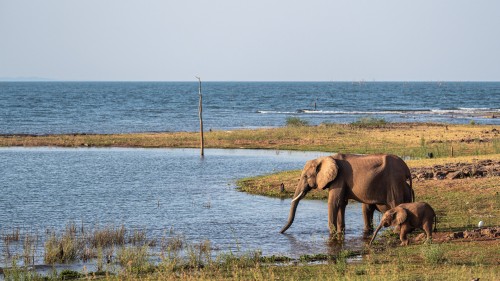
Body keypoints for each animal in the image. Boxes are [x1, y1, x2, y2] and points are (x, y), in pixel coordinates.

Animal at [280, 153, 412, 234]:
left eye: (306, 176)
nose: (280, 232)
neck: (325, 158)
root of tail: (406, 169)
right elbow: (341, 203)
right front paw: (340, 233)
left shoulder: (339, 179)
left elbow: (334, 202)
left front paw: (332, 234)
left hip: (394, 181)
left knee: (395, 203)